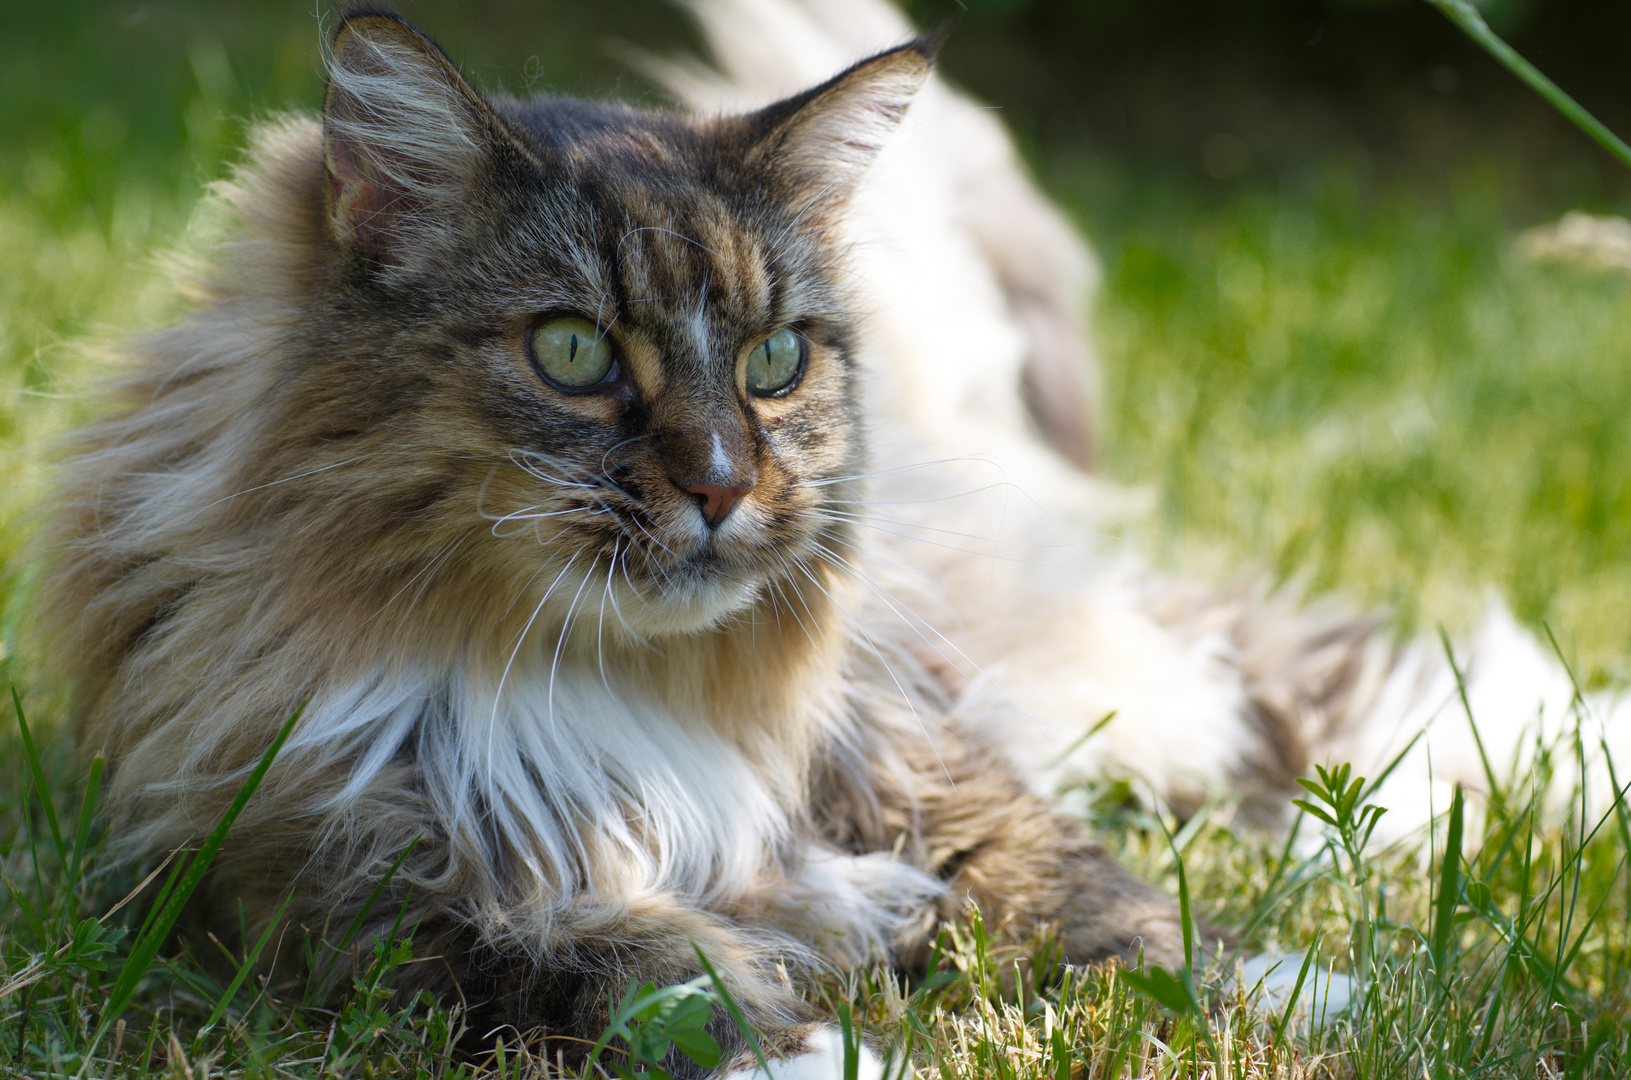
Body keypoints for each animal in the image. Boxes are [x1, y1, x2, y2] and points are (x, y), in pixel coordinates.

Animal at [38, 0, 1631, 1076]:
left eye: (772, 360)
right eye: (571, 353)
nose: (722, 486)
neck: (609, 685)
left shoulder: (917, 759)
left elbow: (1106, 907)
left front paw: (1321, 1001)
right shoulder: (391, 889)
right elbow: (666, 982)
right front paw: (830, 1042)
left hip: (1104, 675)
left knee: (1320, 688)